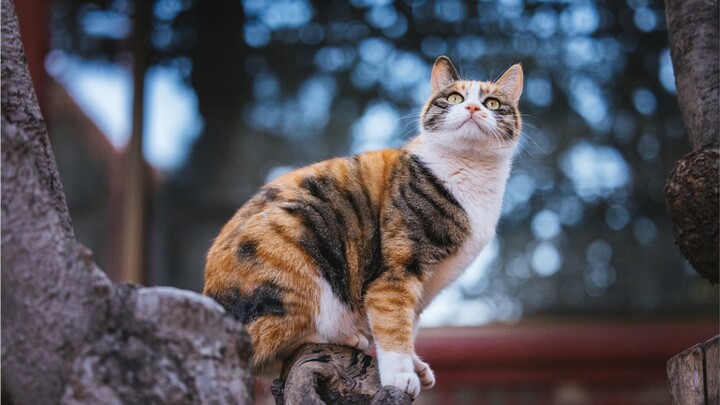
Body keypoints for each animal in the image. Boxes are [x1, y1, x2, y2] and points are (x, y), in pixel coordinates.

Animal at [202, 54, 524, 398]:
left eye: (492, 103)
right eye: (454, 98)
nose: (474, 107)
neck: (471, 176)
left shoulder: (426, 286)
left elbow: (405, 323)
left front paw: (415, 364)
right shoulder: (396, 273)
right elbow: (393, 321)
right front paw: (401, 375)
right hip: (294, 244)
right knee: (270, 348)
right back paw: (345, 336)